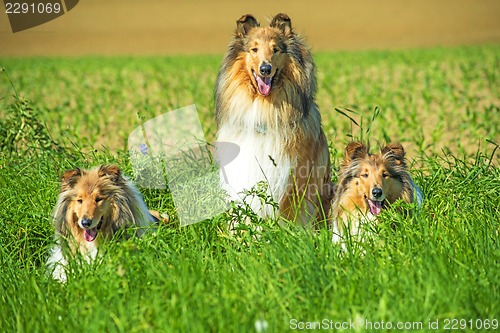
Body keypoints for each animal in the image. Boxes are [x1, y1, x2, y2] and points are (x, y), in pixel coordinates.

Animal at [214, 13, 332, 226]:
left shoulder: (295, 177)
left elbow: (292, 215)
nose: (265, 69)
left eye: (275, 49)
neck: (265, 108)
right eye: (254, 49)